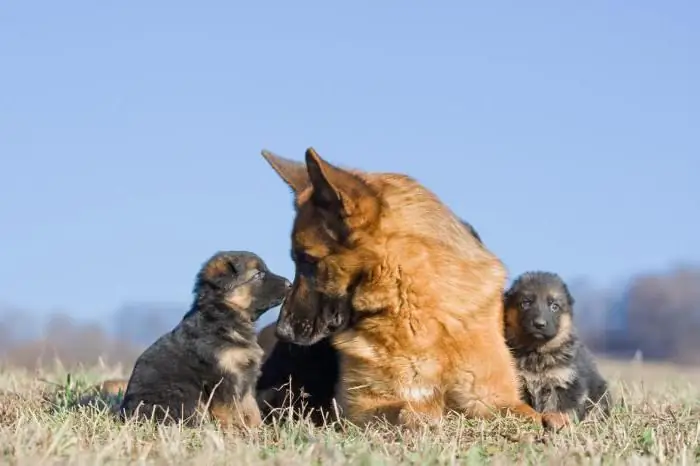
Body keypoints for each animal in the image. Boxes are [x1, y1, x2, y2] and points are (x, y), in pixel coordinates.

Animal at [117, 251, 290, 430]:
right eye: (258, 275)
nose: (290, 284)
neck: (225, 315)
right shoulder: (222, 380)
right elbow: (229, 411)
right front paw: (232, 433)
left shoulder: (246, 379)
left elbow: (251, 408)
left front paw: (257, 431)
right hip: (182, 393)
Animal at [260, 148, 568, 430]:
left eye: (308, 261)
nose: (282, 332)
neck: (411, 305)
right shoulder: (361, 408)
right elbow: (411, 409)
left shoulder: (494, 398)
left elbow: (532, 414)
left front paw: (553, 420)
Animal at [504, 272, 612, 424]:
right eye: (525, 303)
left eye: (554, 306)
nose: (539, 324)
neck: (537, 351)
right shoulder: (519, 381)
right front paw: (528, 416)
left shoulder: (566, 381)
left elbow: (560, 405)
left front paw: (556, 420)